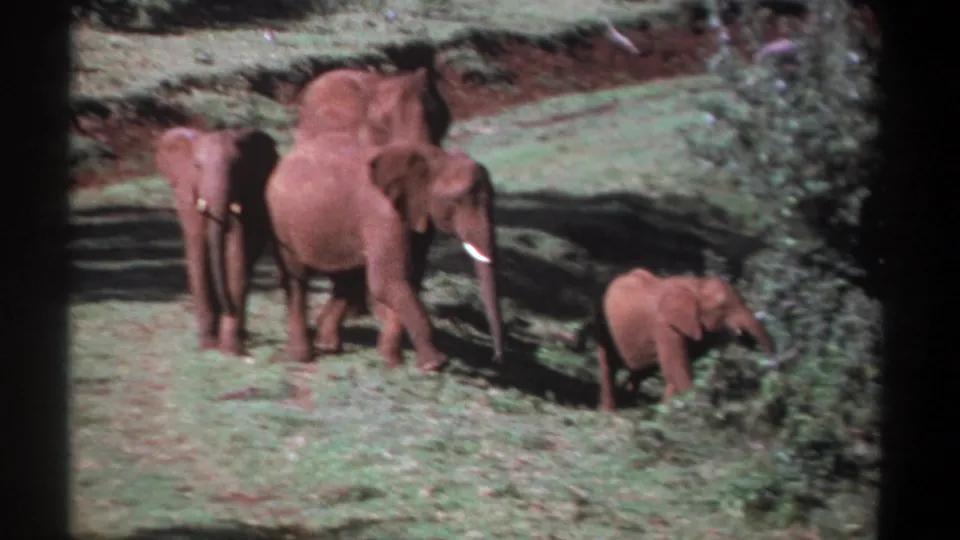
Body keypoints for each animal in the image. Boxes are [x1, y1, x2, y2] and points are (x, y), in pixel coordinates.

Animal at [155, 126, 280, 356]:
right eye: (196, 166)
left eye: (237, 165)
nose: (228, 308)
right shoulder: (187, 194)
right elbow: (198, 256)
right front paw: (207, 347)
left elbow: (235, 254)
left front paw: (230, 351)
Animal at [265, 136, 504, 371]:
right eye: (456, 200)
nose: (496, 357)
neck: (433, 158)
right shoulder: (384, 215)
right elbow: (388, 281)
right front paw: (435, 364)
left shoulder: (415, 216)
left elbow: (407, 278)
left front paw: (392, 361)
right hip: (281, 224)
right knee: (297, 280)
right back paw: (302, 357)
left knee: (348, 280)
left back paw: (327, 345)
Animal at [580, 268, 775, 411]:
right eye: (723, 307)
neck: (697, 285)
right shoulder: (665, 327)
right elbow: (677, 368)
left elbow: (679, 368)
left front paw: (665, 411)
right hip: (602, 323)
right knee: (609, 365)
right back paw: (610, 411)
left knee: (642, 370)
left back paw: (630, 402)